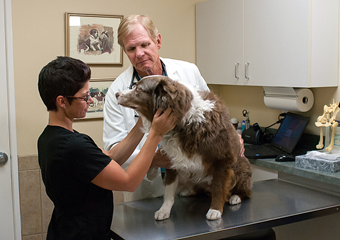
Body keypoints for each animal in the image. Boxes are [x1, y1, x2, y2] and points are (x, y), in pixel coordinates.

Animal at [115, 76, 251, 220]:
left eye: (139, 89)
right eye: (134, 86)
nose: (116, 94)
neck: (184, 122)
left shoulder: (223, 159)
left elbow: (219, 187)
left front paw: (215, 210)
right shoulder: (172, 159)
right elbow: (169, 190)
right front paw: (164, 209)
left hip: (241, 167)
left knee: (245, 191)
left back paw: (235, 197)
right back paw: (189, 191)